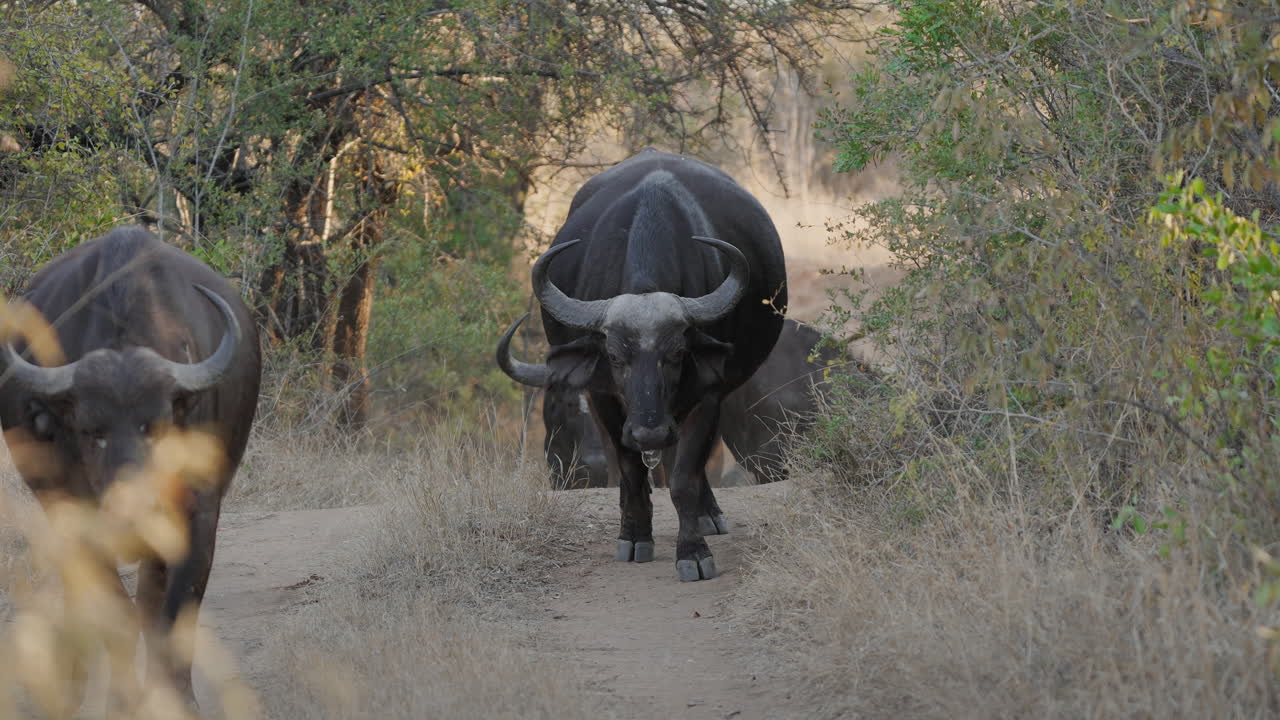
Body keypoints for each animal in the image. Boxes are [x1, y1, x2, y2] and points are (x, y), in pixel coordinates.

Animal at [0, 226, 262, 701]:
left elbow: (173, 611)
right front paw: (123, 700)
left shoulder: (199, 513)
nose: (133, 511)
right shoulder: (76, 513)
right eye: (92, 431)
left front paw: (175, 698)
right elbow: (116, 614)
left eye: (153, 425)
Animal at [498, 149, 787, 581]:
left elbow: (683, 476)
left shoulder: (708, 394)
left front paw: (693, 551)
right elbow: (631, 470)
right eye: (616, 357)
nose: (649, 432)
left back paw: (707, 514)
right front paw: (634, 536)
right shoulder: (603, 398)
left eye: (677, 354)